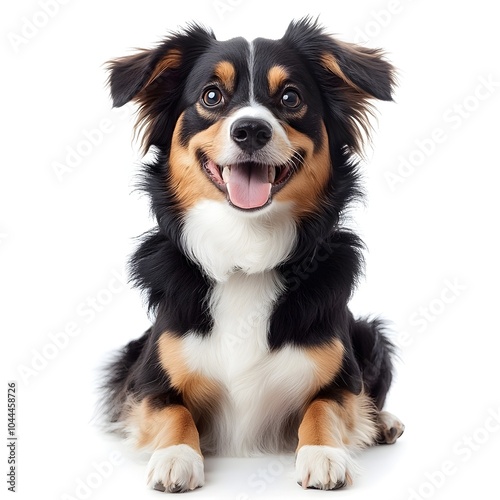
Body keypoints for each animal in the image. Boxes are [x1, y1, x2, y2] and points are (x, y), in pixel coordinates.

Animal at [103, 16, 404, 492]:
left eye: (290, 97)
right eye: (211, 95)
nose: (250, 130)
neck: (246, 252)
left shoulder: (342, 378)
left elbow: (324, 405)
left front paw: (323, 454)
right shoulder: (147, 380)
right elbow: (173, 410)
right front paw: (175, 456)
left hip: (370, 334)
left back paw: (385, 421)